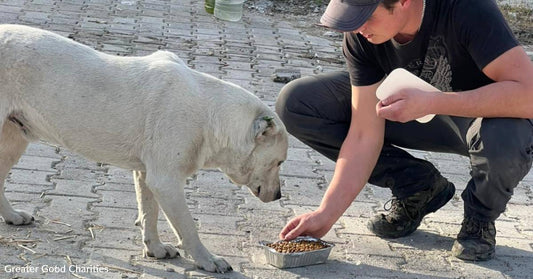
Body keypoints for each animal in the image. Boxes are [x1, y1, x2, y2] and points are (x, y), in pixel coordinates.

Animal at [0, 24, 288, 274]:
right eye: (279, 162)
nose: (278, 196)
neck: (210, 114)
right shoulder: (166, 182)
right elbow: (187, 226)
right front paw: (208, 260)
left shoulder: (147, 174)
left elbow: (149, 213)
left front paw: (156, 249)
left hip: (13, 140)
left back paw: (12, 216)